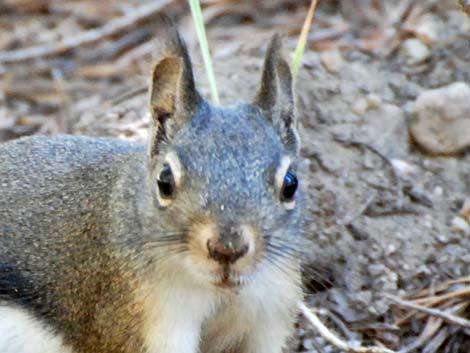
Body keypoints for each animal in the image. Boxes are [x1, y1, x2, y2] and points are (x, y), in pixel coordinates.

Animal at [0, 17, 304, 352]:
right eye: (164, 181)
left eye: (290, 184)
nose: (227, 249)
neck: (219, 291)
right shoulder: (143, 314)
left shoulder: (268, 310)